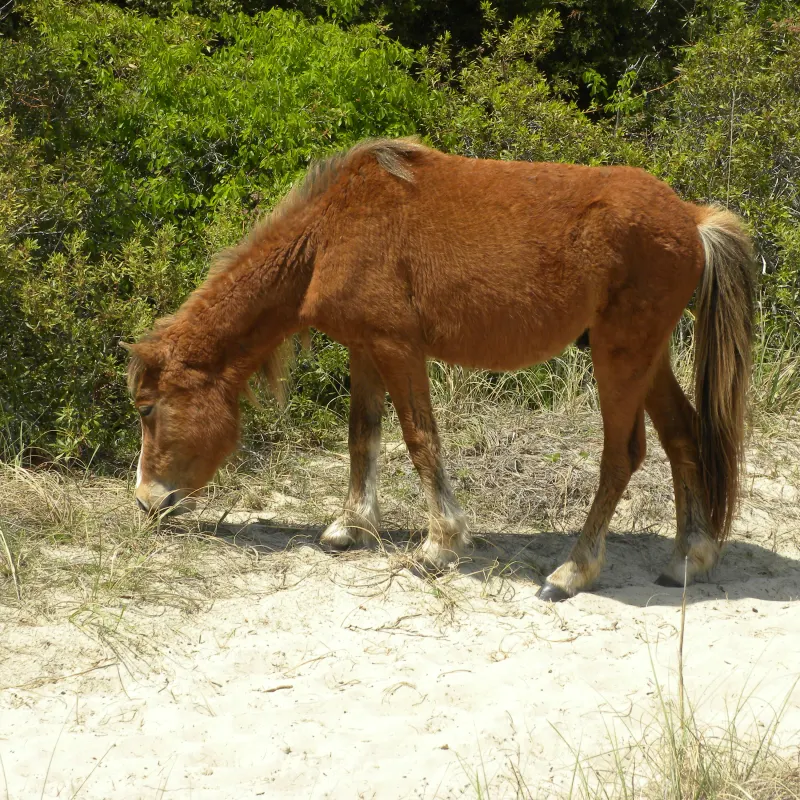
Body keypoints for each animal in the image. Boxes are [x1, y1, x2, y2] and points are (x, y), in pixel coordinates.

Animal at [125, 137, 755, 602]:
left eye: (148, 408)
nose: (147, 501)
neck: (331, 231)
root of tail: (692, 218)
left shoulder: (398, 348)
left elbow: (420, 441)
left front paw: (438, 546)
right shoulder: (364, 349)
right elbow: (363, 437)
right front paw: (351, 527)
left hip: (619, 356)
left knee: (623, 456)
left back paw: (573, 571)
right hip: (645, 358)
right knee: (682, 436)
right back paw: (688, 557)